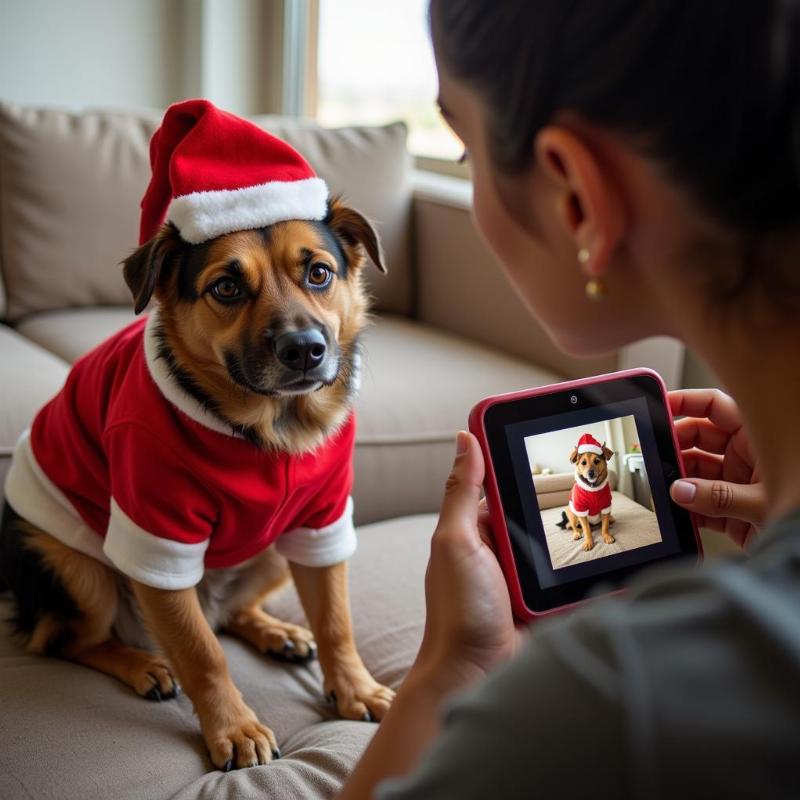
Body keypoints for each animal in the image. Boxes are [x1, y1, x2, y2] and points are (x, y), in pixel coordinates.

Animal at [1, 97, 396, 772]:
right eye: (227, 287)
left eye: (319, 274)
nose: (306, 349)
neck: (271, 430)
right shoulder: (158, 536)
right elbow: (203, 655)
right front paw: (232, 728)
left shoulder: (320, 522)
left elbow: (337, 621)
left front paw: (355, 686)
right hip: (76, 568)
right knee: (68, 638)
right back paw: (142, 664)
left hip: (272, 551)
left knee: (228, 614)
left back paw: (275, 630)